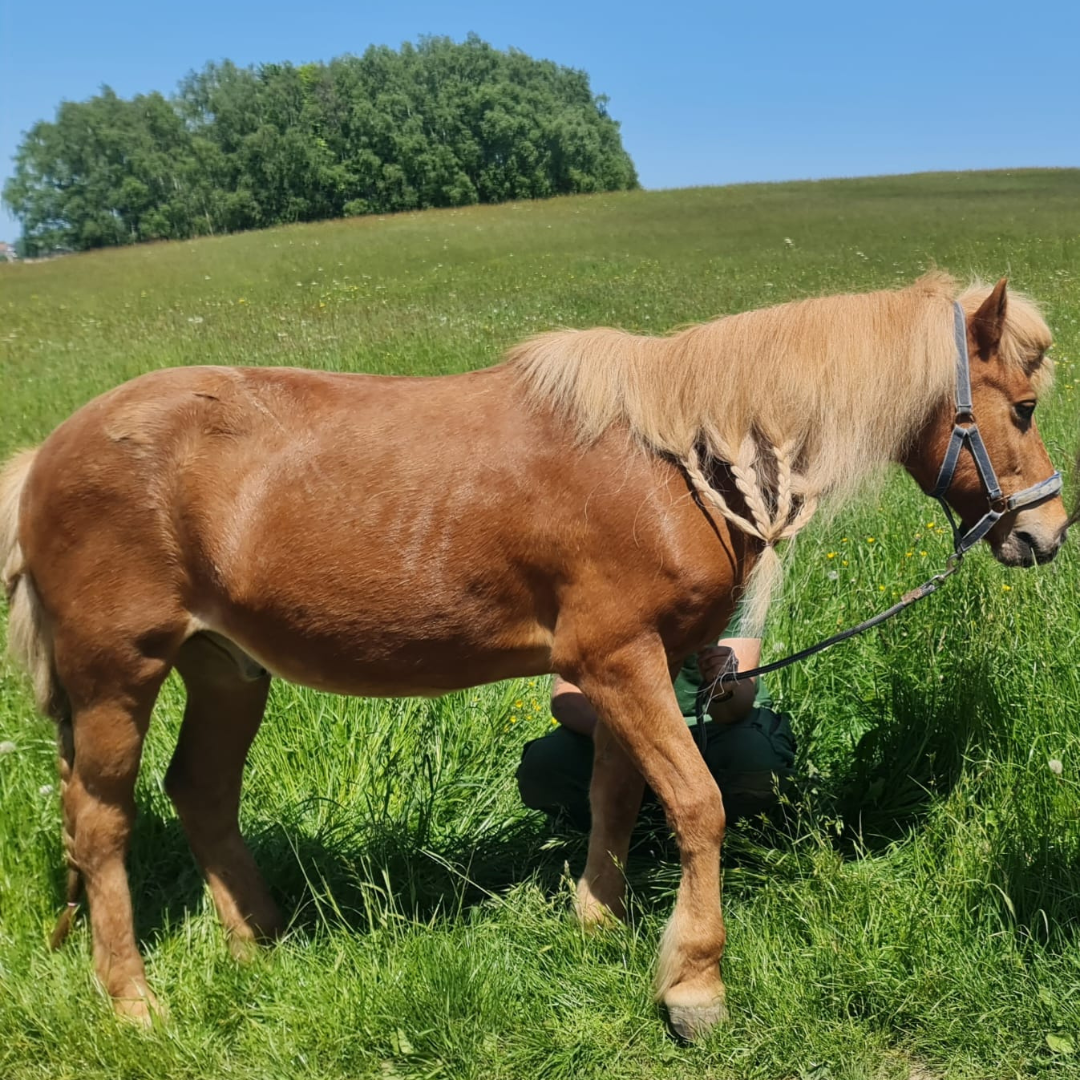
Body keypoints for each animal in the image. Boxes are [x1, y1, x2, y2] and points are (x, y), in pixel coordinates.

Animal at [0, 270, 1062, 1036]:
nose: (1046, 533)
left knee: (201, 793)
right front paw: (694, 984)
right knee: (100, 825)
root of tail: (43, 455)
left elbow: (617, 791)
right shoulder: (621, 655)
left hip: (226, 668)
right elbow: (696, 803)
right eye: (1021, 406)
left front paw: (600, 922)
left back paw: (258, 947)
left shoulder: (631, 664)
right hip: (117, 677)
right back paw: (135, 1004)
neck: (671, 457)